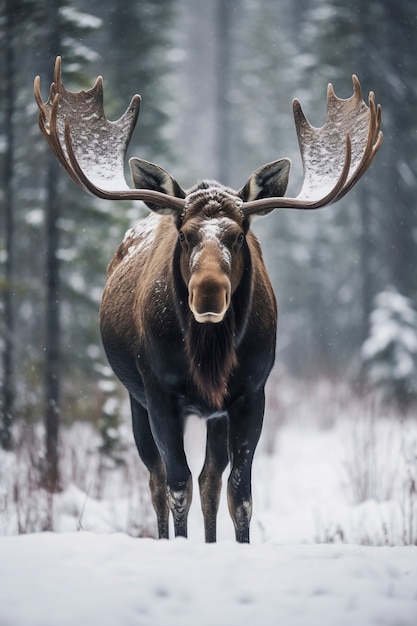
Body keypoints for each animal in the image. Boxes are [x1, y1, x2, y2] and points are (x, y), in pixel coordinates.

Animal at [34, 61, 382, 544]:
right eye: (185, 235)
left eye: (238, 235)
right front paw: (180, 545)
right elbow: (176, 484)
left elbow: (239, 492)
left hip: (211, 414)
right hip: (135, 399)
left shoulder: (250, 393)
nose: (209, 293)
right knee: (157, 477)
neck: (209, 355)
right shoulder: (158, 392)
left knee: (210, 478)